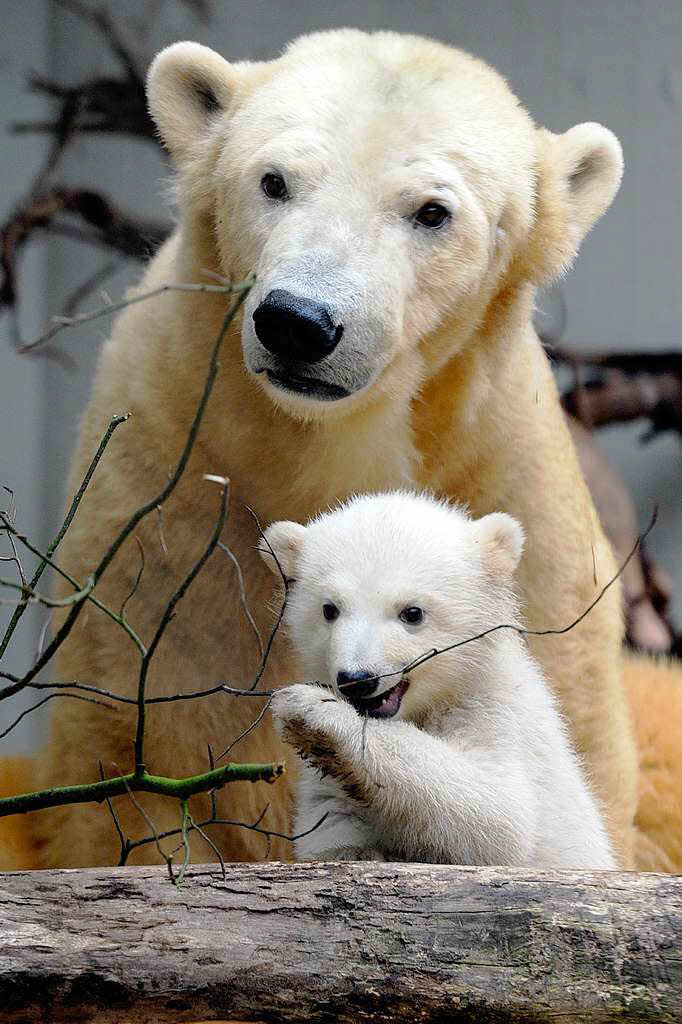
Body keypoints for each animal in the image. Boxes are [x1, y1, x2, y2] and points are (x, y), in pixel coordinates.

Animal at [30, 29, 638, 864]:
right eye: (274, 180)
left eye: (432, 212)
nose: (298, 321)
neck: (326, 445)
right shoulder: (171, 499)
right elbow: (144, 754)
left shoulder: (501, 478)